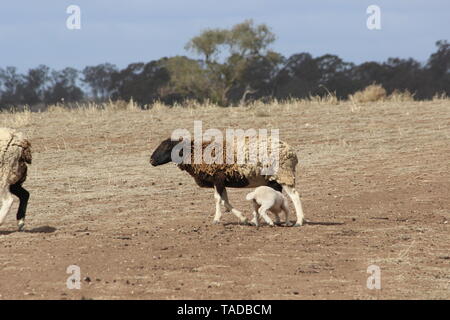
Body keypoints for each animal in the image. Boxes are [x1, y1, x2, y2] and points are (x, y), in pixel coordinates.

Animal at [151, 136, 306, 226]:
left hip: (284, 174)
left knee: (295, 196)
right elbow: (225, 201)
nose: (151, 160)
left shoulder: (218, 178)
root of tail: (291, 151)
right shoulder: (221, 181)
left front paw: (216, 219)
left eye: (167, 147)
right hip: (274, 180)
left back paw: (299, 221)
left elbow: (218, 199)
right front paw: (243, 218)